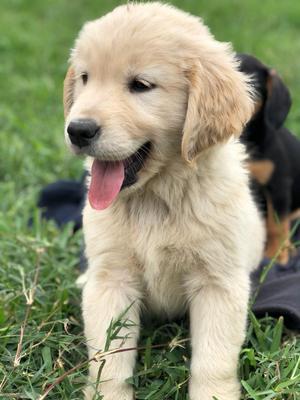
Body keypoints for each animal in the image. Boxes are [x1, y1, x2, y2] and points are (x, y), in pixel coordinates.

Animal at [63, 1, 264, 398]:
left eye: (141, 85)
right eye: (85, 78)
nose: (77, 130)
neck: (157, 196)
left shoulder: (218, 281)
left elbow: (213, 360)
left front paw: (213, 393)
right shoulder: (112, 278)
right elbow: (109, 359)